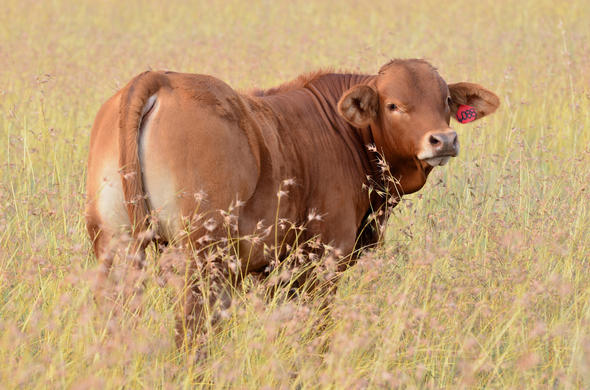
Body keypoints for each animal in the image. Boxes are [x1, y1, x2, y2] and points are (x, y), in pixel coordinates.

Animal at [84, 58, 500, 342]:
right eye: (394, 105)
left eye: (445, 100)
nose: (443, 140)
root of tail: (162, 79)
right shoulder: (324, 260)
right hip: (202, 256)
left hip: (115, 246)